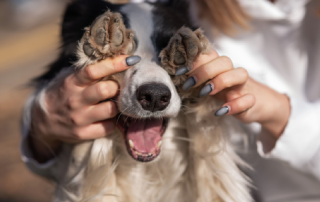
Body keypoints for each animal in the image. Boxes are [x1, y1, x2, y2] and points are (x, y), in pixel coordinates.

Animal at [33, 0, 252, 202]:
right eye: (123, 56)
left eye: (166, 45)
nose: (154, 97)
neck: (144, 167)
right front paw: (104, 47)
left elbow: (210, 161)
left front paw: (190, 63)